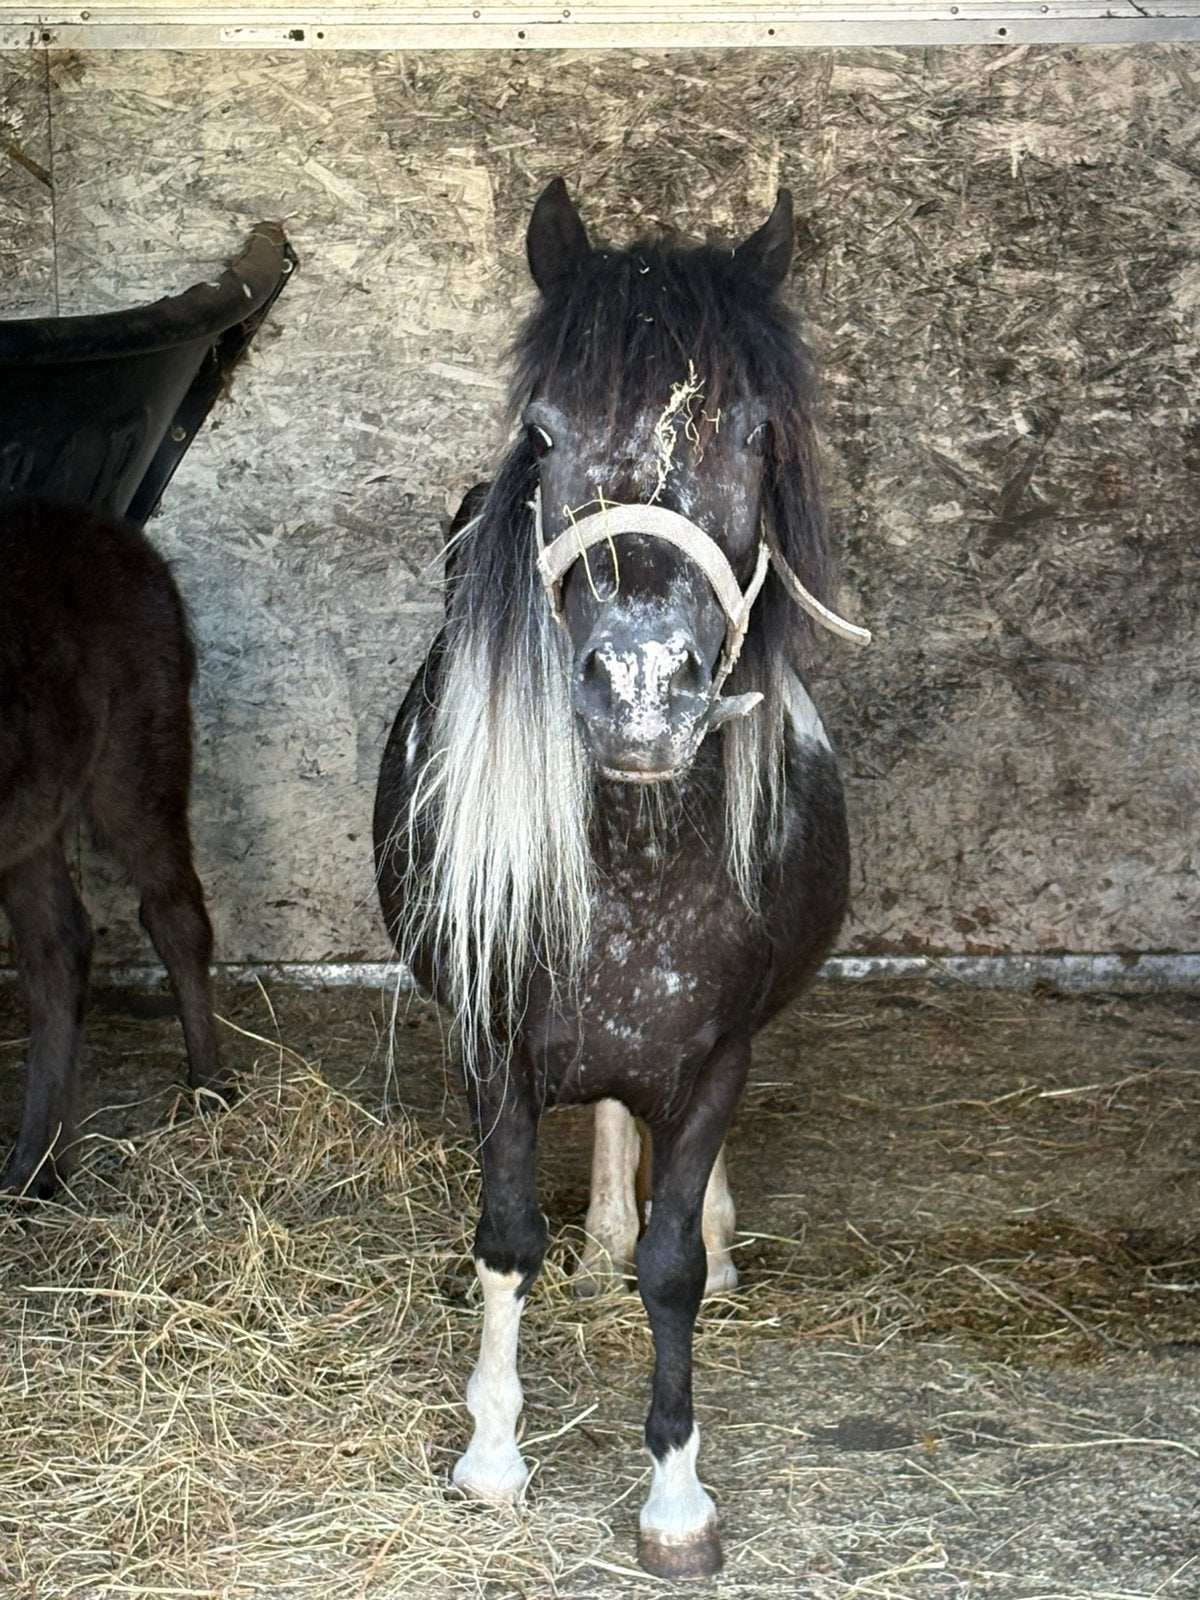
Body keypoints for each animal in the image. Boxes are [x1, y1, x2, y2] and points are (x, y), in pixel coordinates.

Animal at [0, 497, 224, 1198]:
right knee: (61, 945)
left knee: (176, 913)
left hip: (136, 764)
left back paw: (213, 1084)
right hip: (33, 812)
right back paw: (37, 1164)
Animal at [373, 178, 866, 1578]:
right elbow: (506, 1241)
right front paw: (490, 1458)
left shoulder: (714, 1057)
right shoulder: (492, 1043)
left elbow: (671, 1267)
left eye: (757, 438)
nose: (643, 691)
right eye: (542, 433)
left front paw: (677, 1497)